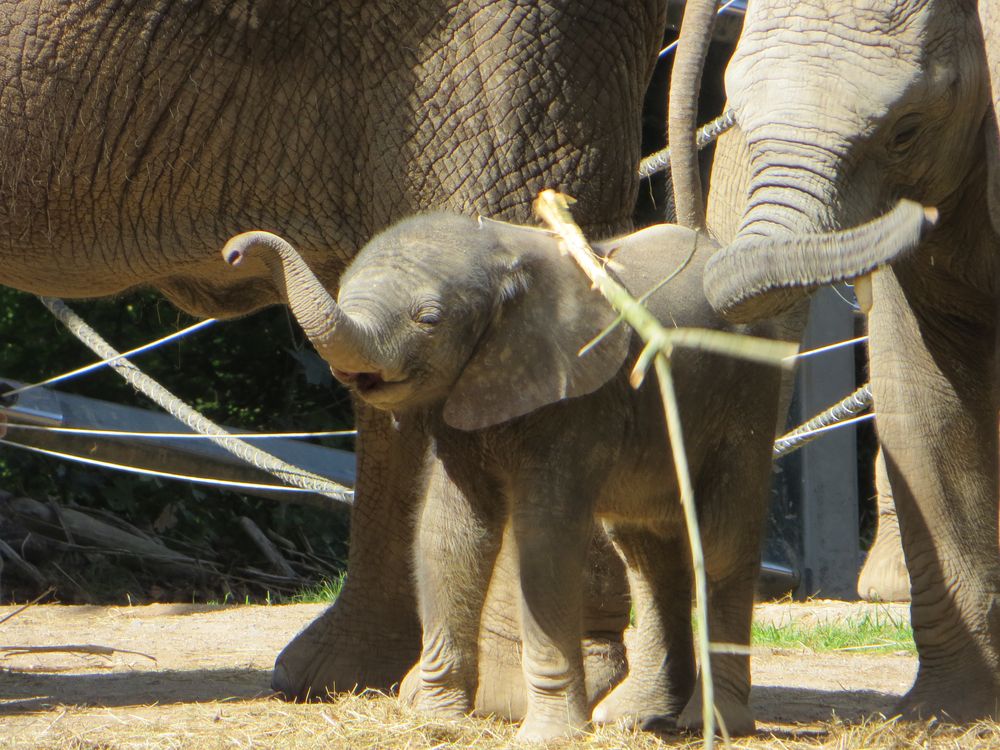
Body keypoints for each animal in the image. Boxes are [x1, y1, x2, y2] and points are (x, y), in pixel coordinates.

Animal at [223, 214, 784, 744]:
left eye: (429, 319)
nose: (235, 251)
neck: (504, 249)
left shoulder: (579, 396)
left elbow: (545, 538)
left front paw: (548, 736)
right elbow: (449, 532)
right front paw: (437, 721)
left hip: (748, 396)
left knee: (721, 543)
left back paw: (713, 723)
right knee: (645, 552)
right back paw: (635, 717)